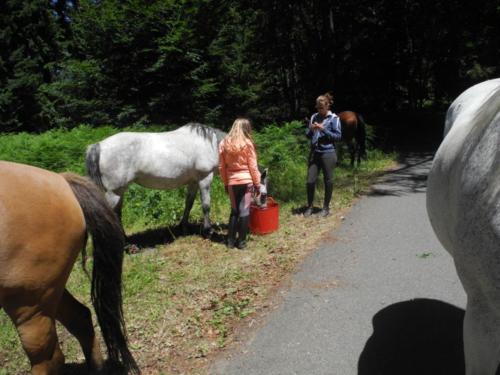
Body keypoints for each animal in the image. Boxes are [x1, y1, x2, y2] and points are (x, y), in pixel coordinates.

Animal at [86, 123, 227, 235]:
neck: (211, 144)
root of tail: (99, 145)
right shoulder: (205, 177)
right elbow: (206, 205)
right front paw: (208, 230)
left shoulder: (193, 181)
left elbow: (189, 204)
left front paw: (183, 227)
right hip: (113, 193)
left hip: (119, 191)